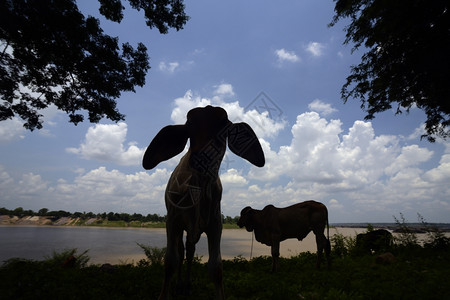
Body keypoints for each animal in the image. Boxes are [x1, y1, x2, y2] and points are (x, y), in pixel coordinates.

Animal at [143, 105, 264, 300]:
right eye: (189, 125)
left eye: (224, 125)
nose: (202, 159)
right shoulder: (172, 221)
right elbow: (170, 261)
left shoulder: (215, 224)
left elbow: (216, 268)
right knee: (182, 252)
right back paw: (179, 285)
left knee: (190, 251)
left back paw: (187, 285)